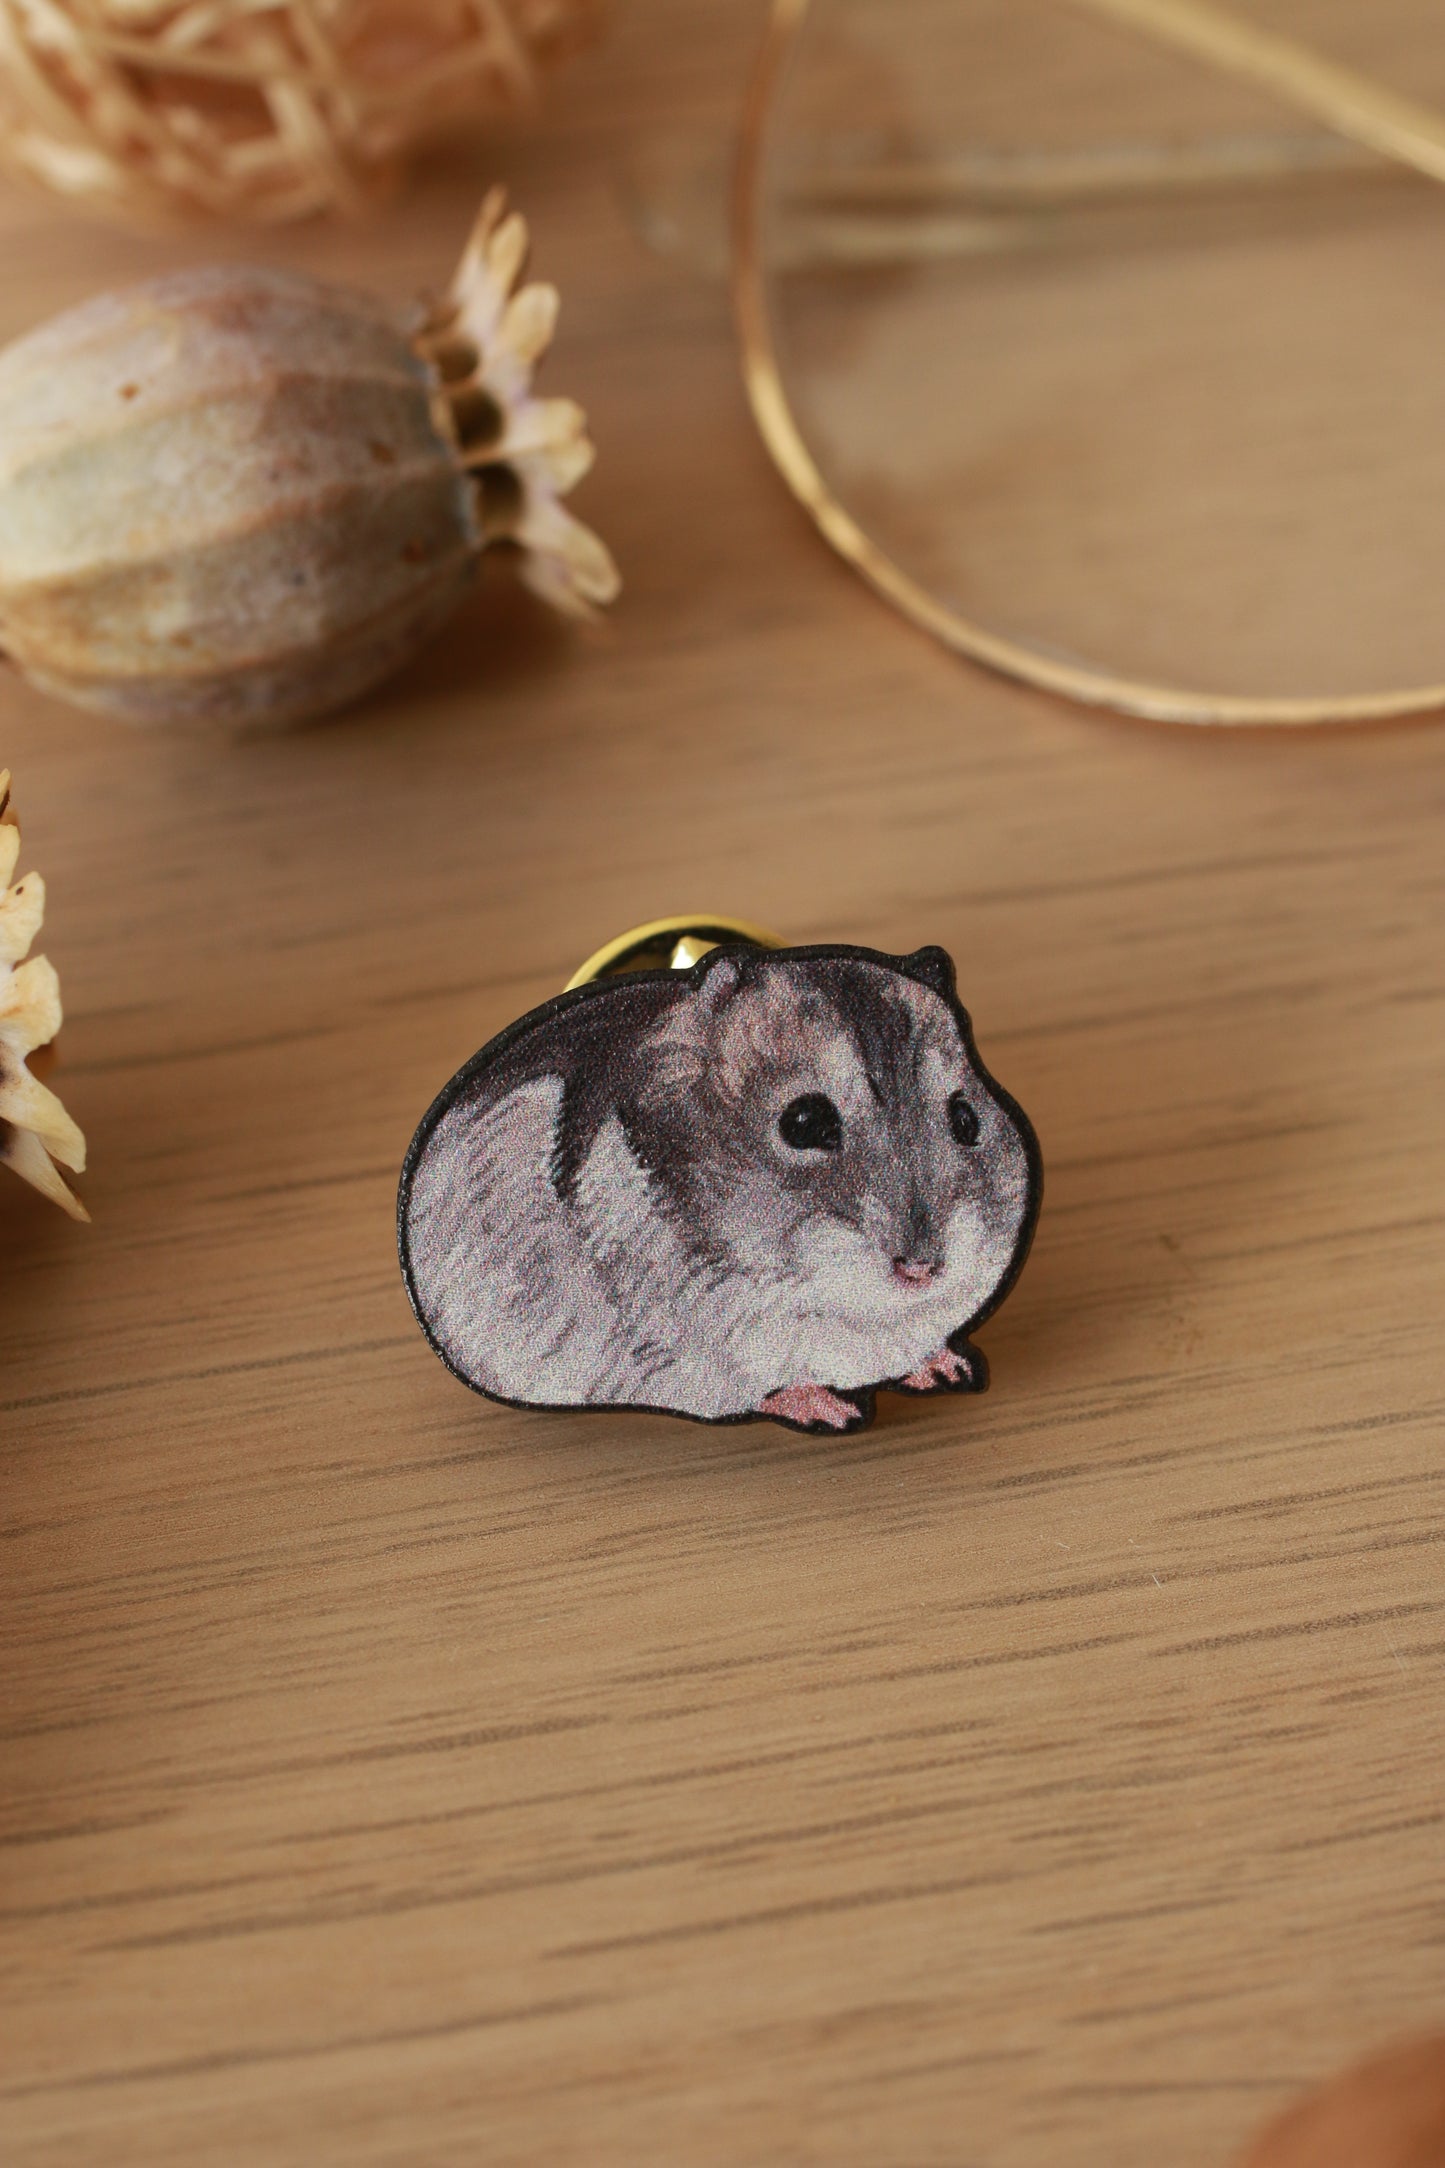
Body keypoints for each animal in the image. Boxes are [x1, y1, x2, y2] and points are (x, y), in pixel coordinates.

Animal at [399, 943, 1041, 1433]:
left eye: (967, 1119)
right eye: (804, 1122)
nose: (923, 1269)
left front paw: (948, 1368)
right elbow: (764, 1384)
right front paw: (834, 1411)